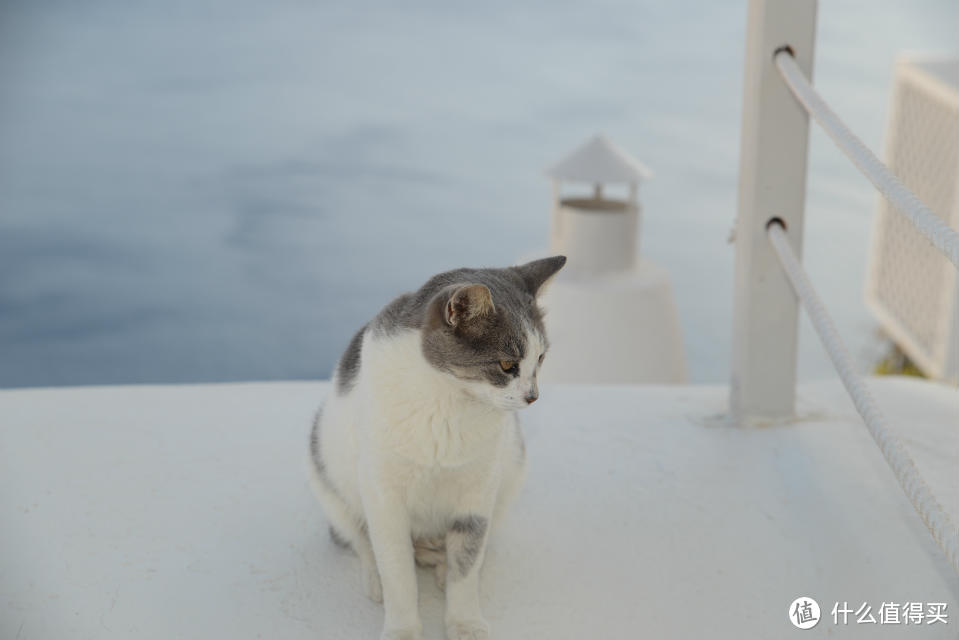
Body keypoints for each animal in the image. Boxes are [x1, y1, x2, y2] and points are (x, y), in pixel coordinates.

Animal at [308, 256, 568, 640]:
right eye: (507, 365)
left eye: (541, 359)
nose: (533, 396)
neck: (448, 400)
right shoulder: (384, 495)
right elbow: (397, 570)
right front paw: (402, 628)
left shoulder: (477, 494)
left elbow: (467, 563)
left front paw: (464, 622)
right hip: (327, 478)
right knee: (361, 541)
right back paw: (377, 578)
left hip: (510, 478)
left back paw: (443, 564)